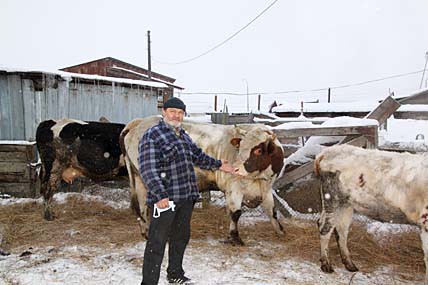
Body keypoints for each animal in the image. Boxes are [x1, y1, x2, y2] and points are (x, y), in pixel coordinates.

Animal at [120, 115, 286, 244]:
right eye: (241, 147)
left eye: (258, 150)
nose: (236, 168)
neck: (259, 178)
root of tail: (138, 122)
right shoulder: (234, 188)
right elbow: (236, 213)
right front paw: (235, 238)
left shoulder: (267, 189)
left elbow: (272, 211)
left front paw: (280, 231)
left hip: (139, 179)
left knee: (142, 205)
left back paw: (145, 231)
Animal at [314, 144, 428, 282]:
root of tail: (325, 152)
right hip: (332, 198)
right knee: (325, 228)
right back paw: (326, 265)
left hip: (346, 204)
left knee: (340, 229)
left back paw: (350, 265)